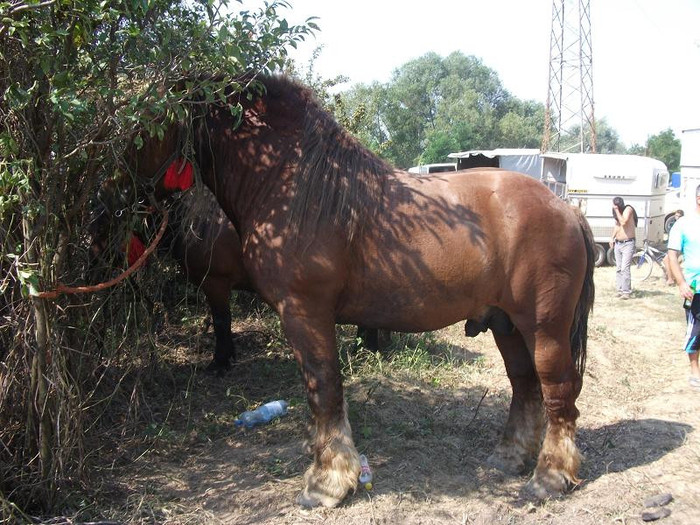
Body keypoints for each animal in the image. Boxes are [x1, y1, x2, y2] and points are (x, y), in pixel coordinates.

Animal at [130, 72, 596, 504]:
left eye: (150, 116)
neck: (296, 185)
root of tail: (566, 208)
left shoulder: (304, 312)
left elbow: (323, 389)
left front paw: (327, 482)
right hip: (506, 325)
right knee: (525, 386)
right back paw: (509, 458)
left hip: (544, 328)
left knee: (558, 392)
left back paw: (550, 477)